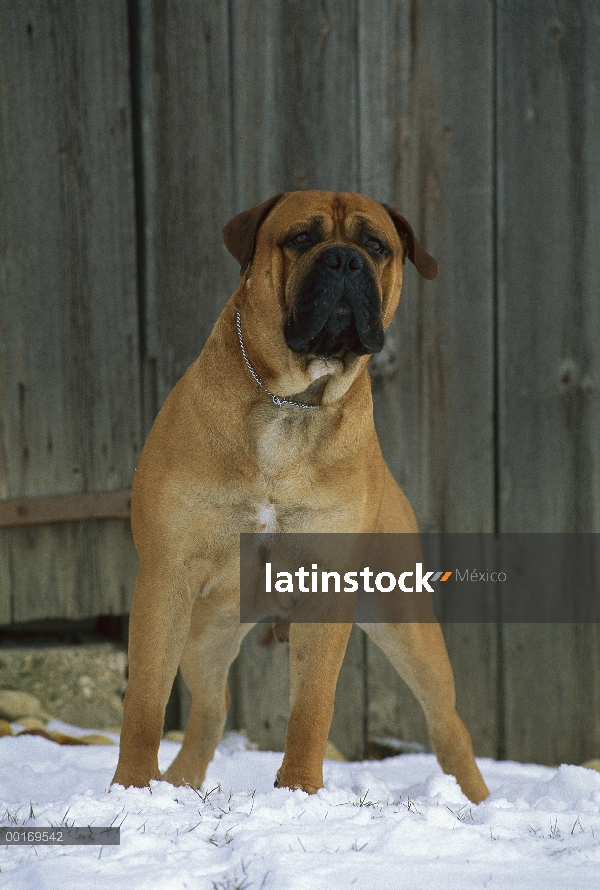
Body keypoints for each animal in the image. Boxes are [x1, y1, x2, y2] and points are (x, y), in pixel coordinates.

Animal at [110, 191, 490, 800]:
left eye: (376, 246)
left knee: (447, 723)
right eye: (301, 239)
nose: (344, 260)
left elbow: (311, 706)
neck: (293, 402)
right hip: (205, 629)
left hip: (408, 625)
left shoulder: (327, 589)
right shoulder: (167, 576)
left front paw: (299, 794)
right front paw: (131, 790)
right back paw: (181, 785)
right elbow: (145, 699)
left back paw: (476, 802)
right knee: (211, 709)